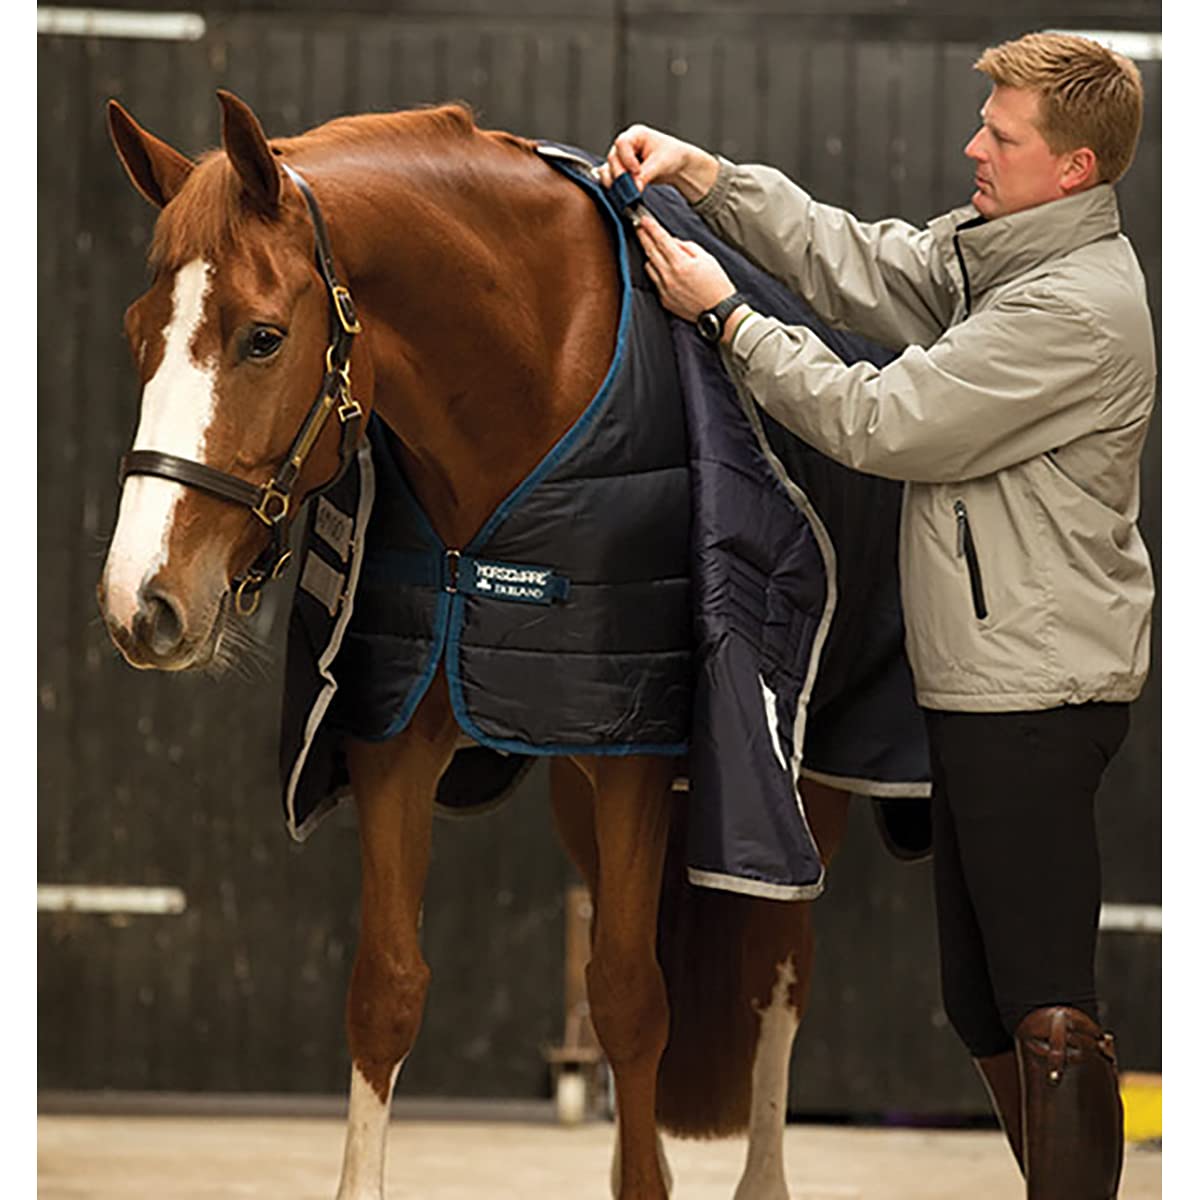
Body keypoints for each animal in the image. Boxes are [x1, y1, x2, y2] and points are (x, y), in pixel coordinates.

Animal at [96, 89, 853, 1200]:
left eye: (263, 339)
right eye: (137, 334)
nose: (138, 602)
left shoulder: (637, 753)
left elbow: (629, 999)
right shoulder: (396, 739)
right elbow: (386, 992)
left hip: (794, 792)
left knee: (778, 968)